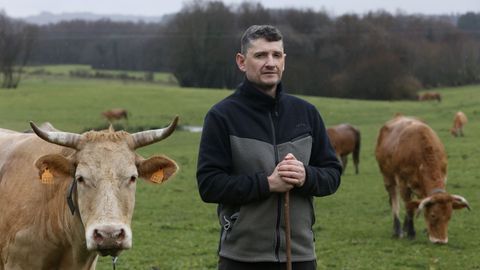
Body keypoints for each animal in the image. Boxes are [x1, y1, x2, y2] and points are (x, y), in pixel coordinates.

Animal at [376, 115, 468, 244]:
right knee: (394, 202)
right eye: (433, 215)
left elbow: (416, 205)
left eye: (449, 216)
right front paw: (411, 233)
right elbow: (409, 207)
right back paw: (398, 230)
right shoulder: (403, 184)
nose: (441, 241)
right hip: (388, 178)